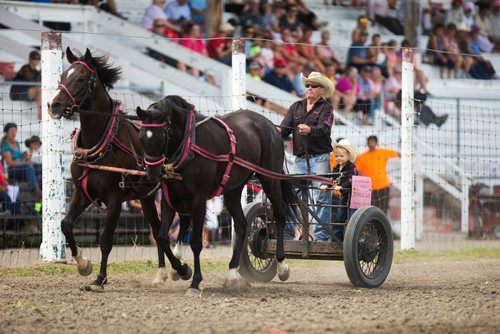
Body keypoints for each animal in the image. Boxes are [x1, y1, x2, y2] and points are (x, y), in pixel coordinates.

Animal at [47, 48, 182, 288]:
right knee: (157, 229)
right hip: (147, 197)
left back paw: (178, 265)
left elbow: (106, 240)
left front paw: (100, 278)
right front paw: (83, 265)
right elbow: (65, 224)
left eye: (81, 78)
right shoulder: (82, 193)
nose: (54, 106)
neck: (101, 144)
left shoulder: (115, 198)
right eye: (62, 76)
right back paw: (161, 273)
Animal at [137, 95, 298, 294]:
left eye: (162, 136)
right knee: (242, 225)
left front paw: (195, 282)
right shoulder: (169, 199)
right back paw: (232, 274)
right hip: (233, 190)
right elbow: (162, 237)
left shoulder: (198, 200)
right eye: (141, 137)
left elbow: (196, 242)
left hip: (270, 179)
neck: (189, 144)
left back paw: (282, 265)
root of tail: (270, 125)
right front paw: (181, 269)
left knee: (280, 214)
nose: (152, 174)